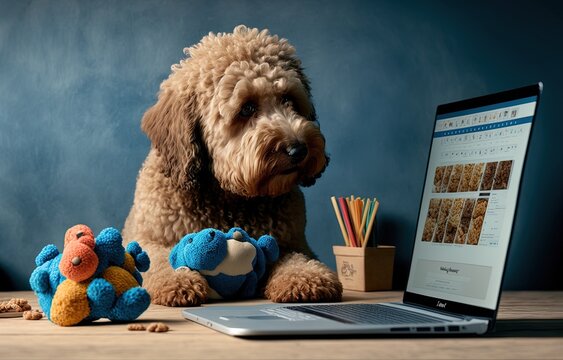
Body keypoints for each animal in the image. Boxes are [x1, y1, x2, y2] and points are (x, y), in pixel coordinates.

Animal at [123, 25, 344, 306]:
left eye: (289, 100)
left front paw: (305, 276)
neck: (229, 197)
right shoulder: (149, 239)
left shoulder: (292, 243)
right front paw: (178, 279)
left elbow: (295, 257)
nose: (299, 149)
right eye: (247, 108)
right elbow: (159, 259)